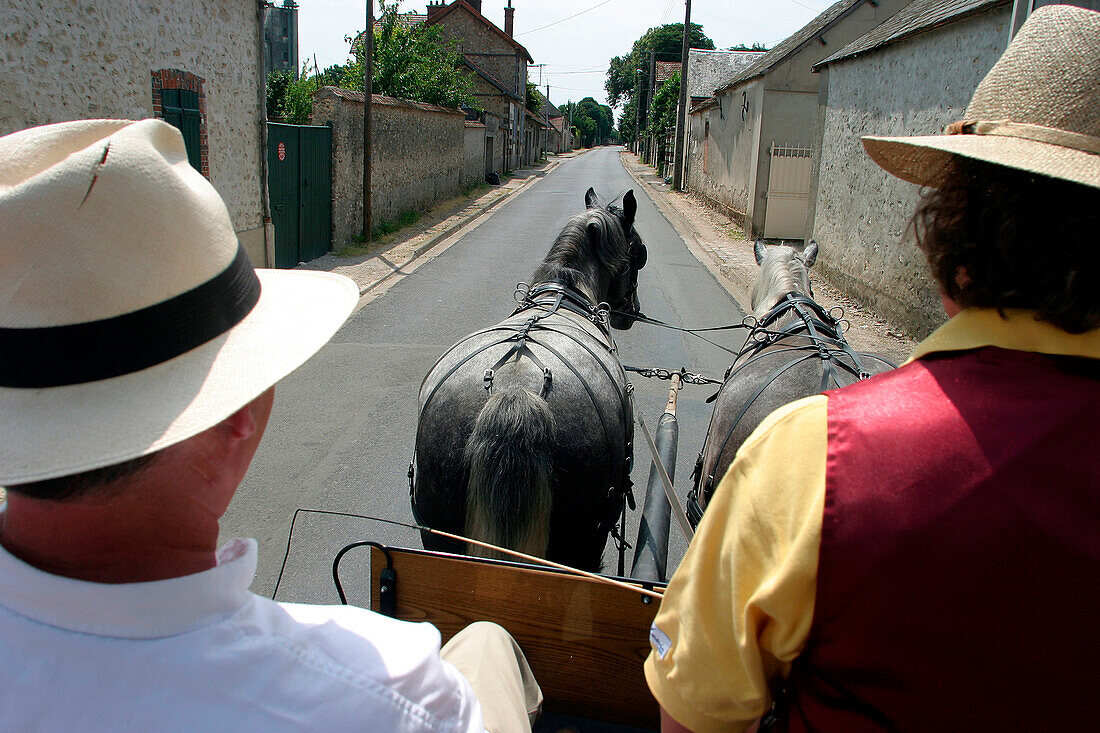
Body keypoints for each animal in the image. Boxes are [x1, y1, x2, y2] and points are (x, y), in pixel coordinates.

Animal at [413, 188, 651, 572]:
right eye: (638, 254)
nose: (633, 311)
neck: (565, 294)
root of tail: (516, 394)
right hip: (583, 544)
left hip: (438, 537)